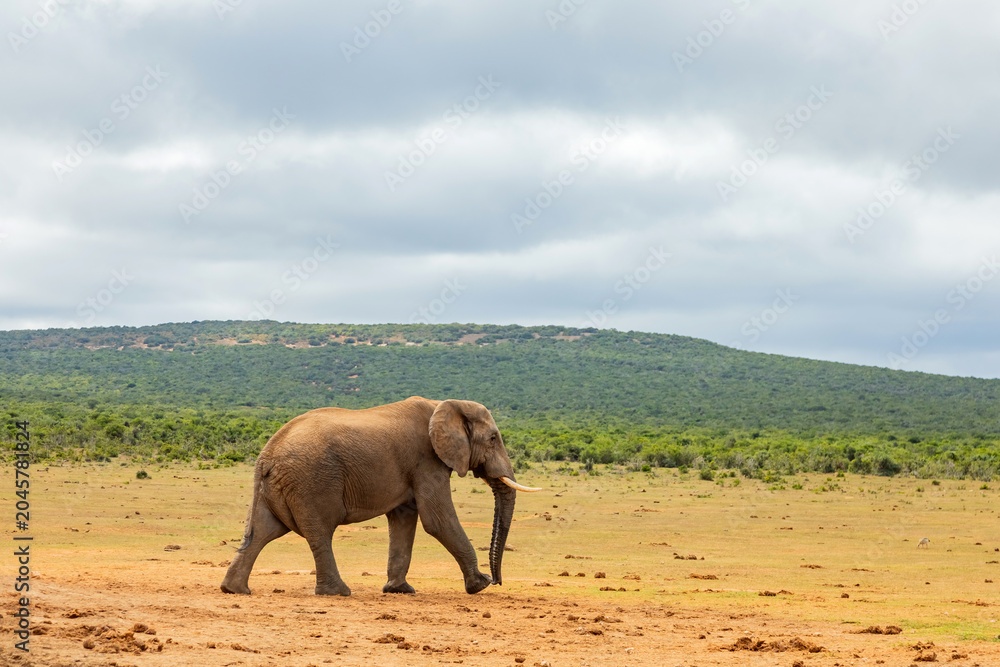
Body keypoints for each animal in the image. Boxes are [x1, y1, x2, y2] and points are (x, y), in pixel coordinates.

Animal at [220, 396, 540, 597]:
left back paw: (234, 590)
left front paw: (399, 591)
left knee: (262, 531)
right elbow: (437, 520)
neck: (445, 404)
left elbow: (404, 519)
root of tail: (267, 454)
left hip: (275, 486)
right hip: (311, 482)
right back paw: (338, 593)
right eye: (493, 439)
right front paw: (479, 586)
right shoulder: (426, 460)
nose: (498, 581)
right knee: (320, 532)